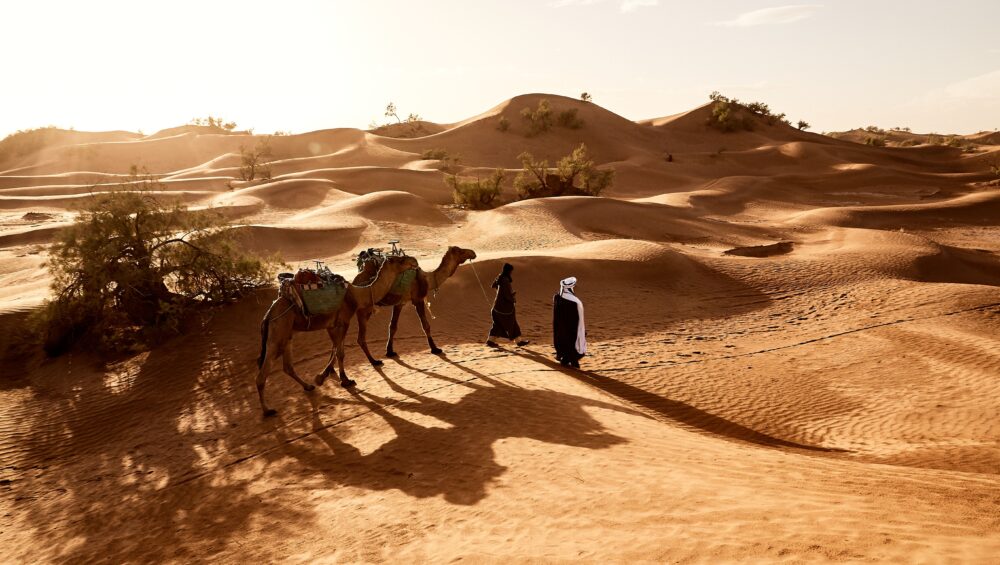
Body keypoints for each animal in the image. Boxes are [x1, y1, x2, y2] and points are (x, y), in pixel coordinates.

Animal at [256, 254, 419, 417]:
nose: (414, 261)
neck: (356, 294)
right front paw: (343, 380)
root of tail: (268, 315)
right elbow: (341, 352)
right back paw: (267, 410)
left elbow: (335, 348)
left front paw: (326, 376)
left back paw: (308, 386)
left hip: (288, 334)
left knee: (288, 366)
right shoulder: (343, 320)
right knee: (263, 374)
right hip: (277, 333)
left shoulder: (332, 324)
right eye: (399, 260)